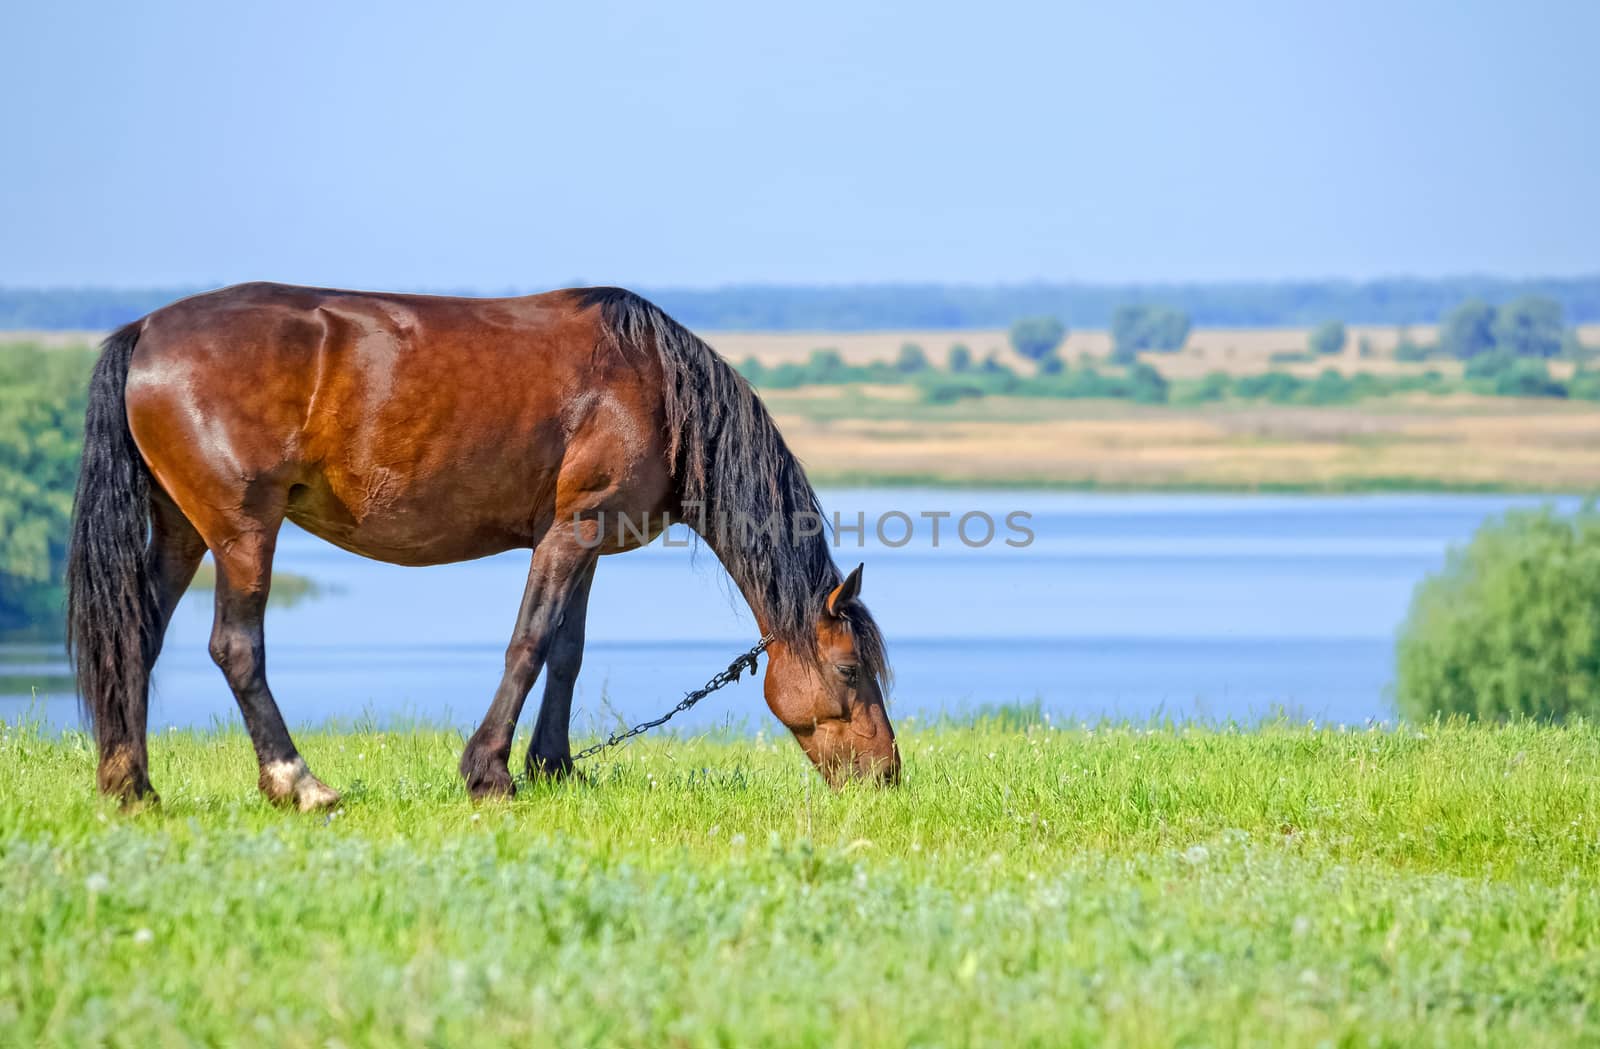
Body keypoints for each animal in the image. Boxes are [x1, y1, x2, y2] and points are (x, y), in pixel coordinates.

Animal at [65, 286, 902, 812]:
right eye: (851, 669)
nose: (888, 775)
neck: (658, 388)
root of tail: (146, 332)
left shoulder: (586, 539)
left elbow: (566, 651)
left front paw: (554, 767)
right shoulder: (570, 531)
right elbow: (528, 643)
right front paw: (490, 772)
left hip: (181, 530)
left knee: (135, 636)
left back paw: (130, 785)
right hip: (243, 532)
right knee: (236, 646)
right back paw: (298, 782)